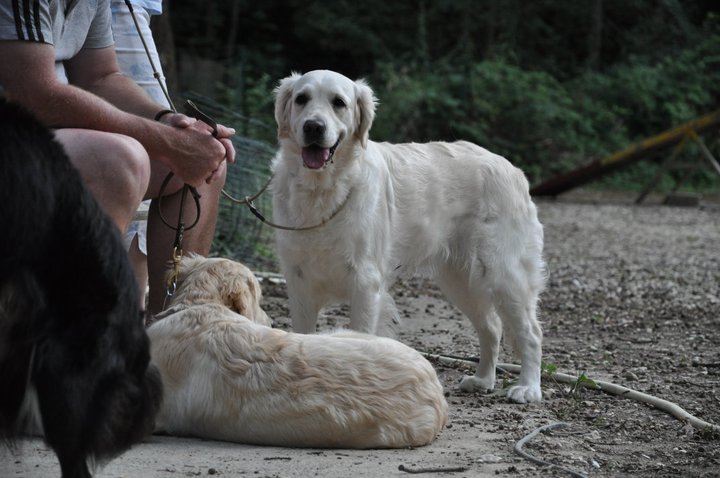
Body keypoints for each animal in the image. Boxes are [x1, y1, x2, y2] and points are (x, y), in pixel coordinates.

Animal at [272, 68, 544, 404]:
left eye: (339, 103)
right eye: (301, 99)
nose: (313, 126)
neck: (322, 191)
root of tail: (512, 169)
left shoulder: (365, 283)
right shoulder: (299, 283)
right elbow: (303, 337)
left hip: (505, 273)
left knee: (531, 332)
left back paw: (529, 387)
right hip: (459, 280)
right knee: (492, 327)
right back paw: (483, 380)